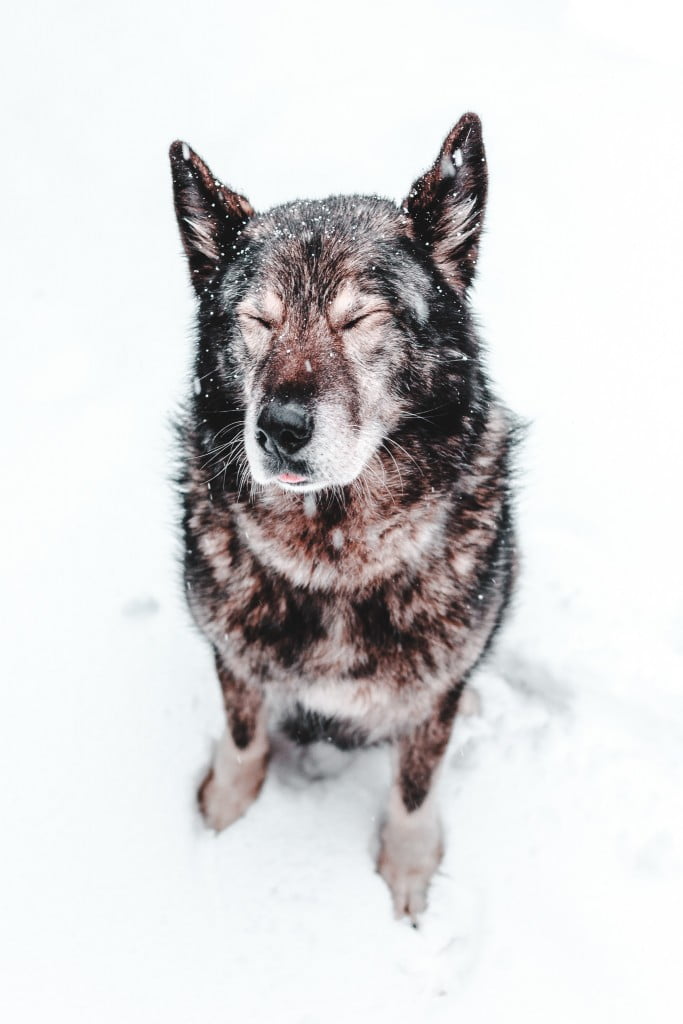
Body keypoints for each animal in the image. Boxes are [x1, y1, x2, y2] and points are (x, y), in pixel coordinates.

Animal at [167, 114, 516, 921]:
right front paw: (224, 816)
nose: (279, 428)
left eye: (360, 317)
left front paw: (408, 869)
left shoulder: (428, 705)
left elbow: (415, 787)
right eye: (257, 320)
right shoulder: (234, 659)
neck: (332, 558)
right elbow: (242, 738)